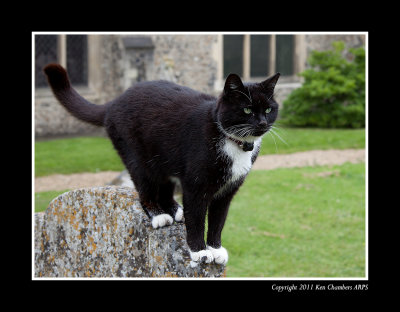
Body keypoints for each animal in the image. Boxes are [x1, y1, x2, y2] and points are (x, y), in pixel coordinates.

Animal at [43, 64, 280, 266]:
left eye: (269, 109)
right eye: (247, 110)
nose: (262, 123)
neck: (234, 143)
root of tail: (113, 103)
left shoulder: (228, 190)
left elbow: (218, 220)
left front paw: (216, 249)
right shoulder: (196, 185)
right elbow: (197, 218)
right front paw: (200, 251)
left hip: (165, 160)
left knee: (166, 188)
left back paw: (175, 210)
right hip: (137, 156)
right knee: (144, 188)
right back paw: (159, 215)